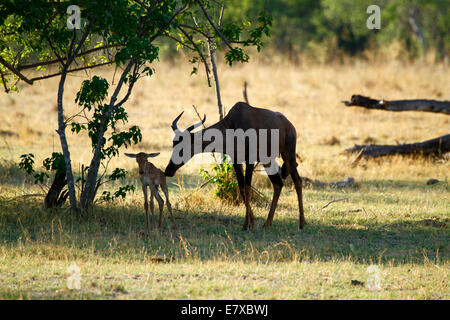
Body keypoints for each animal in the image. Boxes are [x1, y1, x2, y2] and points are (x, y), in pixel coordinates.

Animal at [163, 102, 304, 230]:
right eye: (173, 144)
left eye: (183, 147)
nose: (168, 171)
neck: (234, 122)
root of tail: (288, 124)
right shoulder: (236, 160)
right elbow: (241, 188)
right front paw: (250, 223)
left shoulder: (250, 160)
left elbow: (247, 188)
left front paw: (247, 225)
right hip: (267, 160)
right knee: (278, 184)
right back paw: (267, 224)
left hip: (288, 154)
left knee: (297, 181)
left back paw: (302, 224)